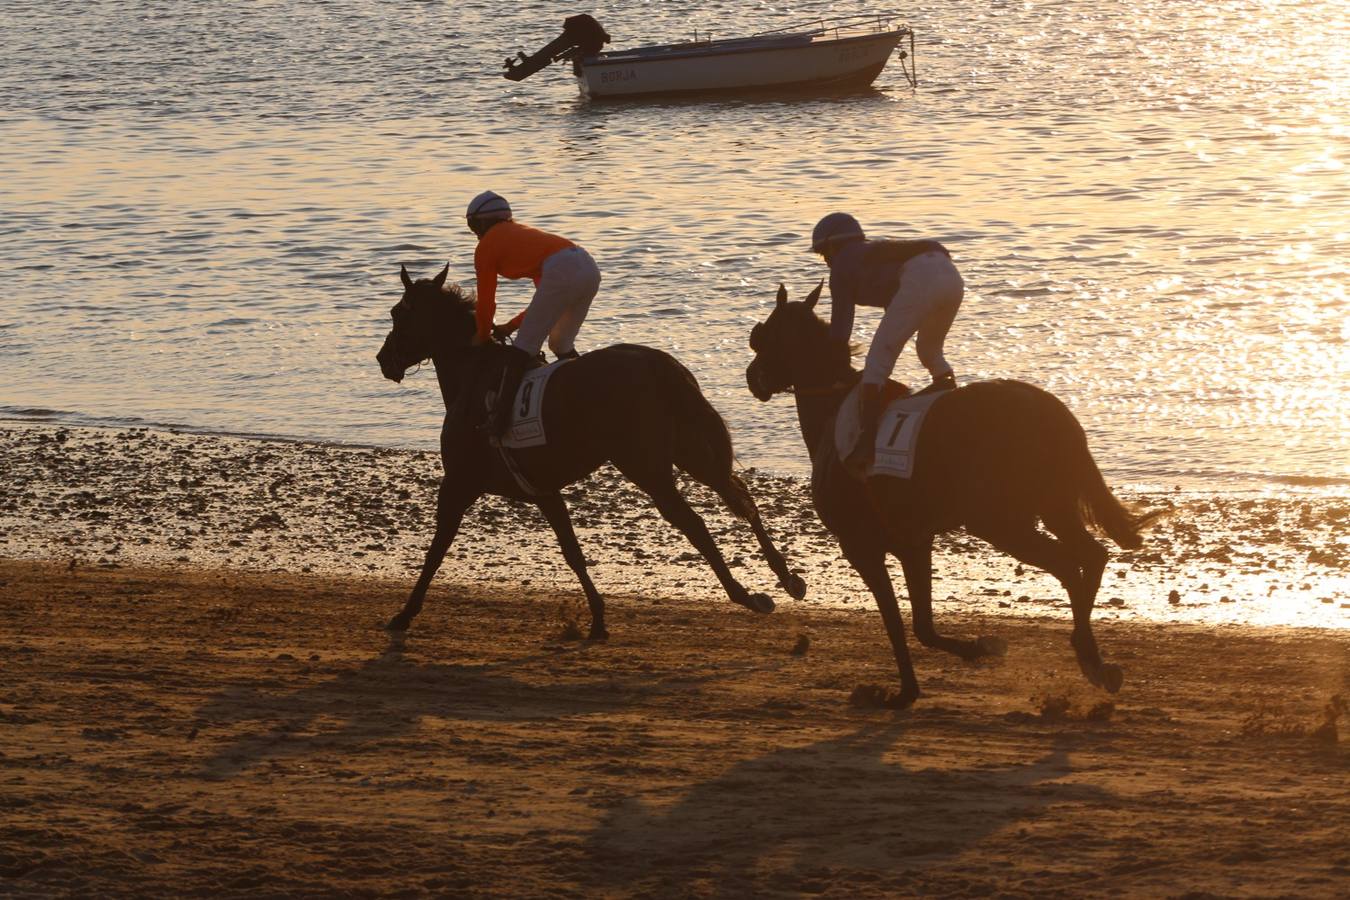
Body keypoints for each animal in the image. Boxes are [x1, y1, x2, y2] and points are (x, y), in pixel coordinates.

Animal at [375, 264, 804, 636]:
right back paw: (787, 578)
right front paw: (597, 619)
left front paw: (404, 614)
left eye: (397, 314)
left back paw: (745, 595)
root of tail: (660, 365)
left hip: (644, 465)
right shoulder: (544, 491)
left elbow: (436, 550)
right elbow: (572, 551)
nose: (382, 359)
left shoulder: (459, 483)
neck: (473, 378)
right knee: (740, 498)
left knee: (694, 522)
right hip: (692, 451)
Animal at [745, 284, 1155, 707]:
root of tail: (1050, 411)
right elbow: (922, 624)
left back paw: (1087, 655)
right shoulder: (913, 542)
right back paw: (1094, 660)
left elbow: (897, 623)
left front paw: (911, 688)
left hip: (1001, 522)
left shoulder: (861, 546)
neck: (834, 414)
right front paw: (966, 654)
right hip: (1051, 507)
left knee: (1070, 564)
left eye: (762, 336)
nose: (752, 378)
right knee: (1092, 556)